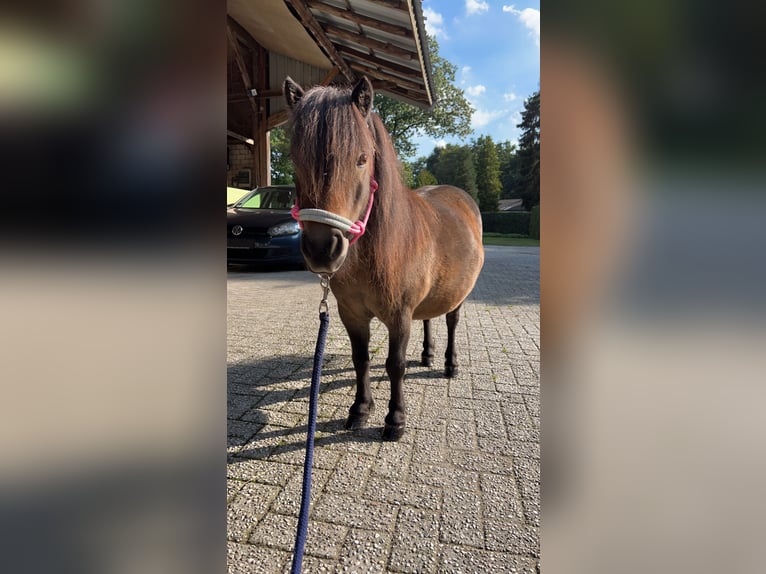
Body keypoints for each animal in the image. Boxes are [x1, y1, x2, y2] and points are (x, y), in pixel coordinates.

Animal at [284, 76, 484, 444]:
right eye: (294, 160)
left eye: (362, 159)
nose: (322, 249)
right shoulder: (351, 313)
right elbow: (361, 359)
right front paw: (360, 409)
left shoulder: (399, 315)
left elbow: (395, 365)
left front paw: (395, 419)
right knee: (429, 318)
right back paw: (428, 355)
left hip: (459, 293)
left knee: (451, 321)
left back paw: (449, 364)